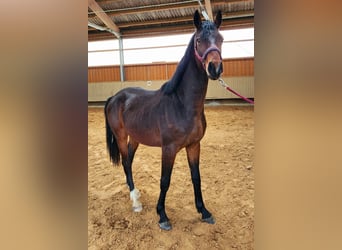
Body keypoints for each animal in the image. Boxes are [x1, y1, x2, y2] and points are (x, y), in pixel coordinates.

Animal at [103, 11, 224, 230]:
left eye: (221, 39)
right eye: (199, 40)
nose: (215, 68)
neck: (181, 103)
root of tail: (115, 97)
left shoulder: (194, 145)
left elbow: (196, 177)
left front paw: (204, 211)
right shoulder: (169, 149)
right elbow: (165, 180)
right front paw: (162, 215)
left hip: (135, 138)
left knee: (129, 162)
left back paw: (133, 192)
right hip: (121, 136)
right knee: (125, 161)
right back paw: (135, 201)